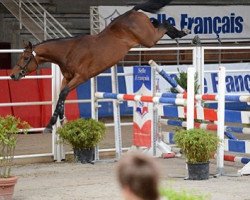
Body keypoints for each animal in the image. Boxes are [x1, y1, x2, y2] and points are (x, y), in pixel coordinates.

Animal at [10, 0, 189, 133]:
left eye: (25, 57)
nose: (13, 75)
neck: (69, 51)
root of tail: (131, 11)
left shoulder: (80, 77)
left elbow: (63, 93)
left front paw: (52, 124)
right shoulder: (67, 78)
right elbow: (61, 96)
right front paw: (58, 121)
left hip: (149, 40)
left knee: (163, 25)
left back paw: (183, 32)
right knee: (157, 22)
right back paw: (178, 32)